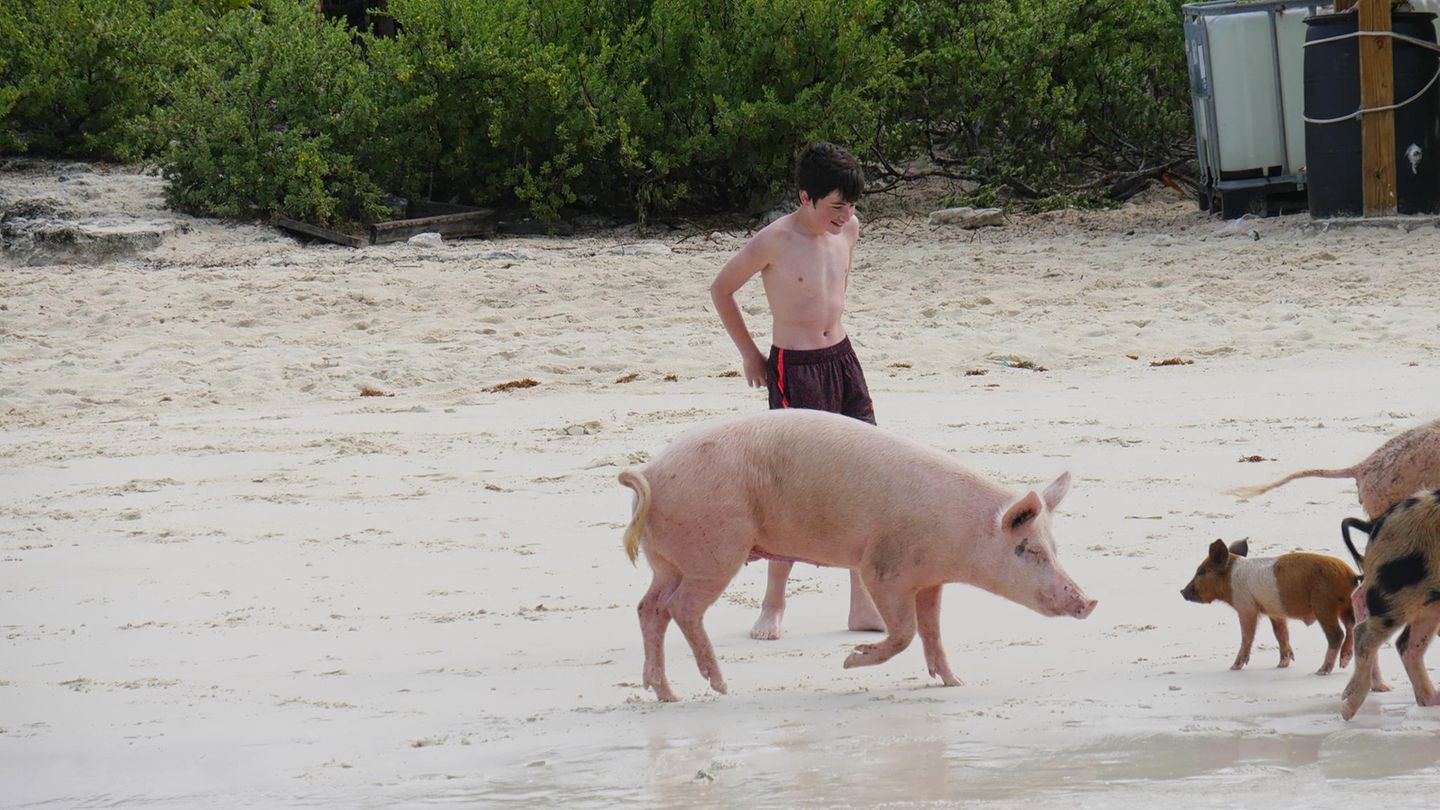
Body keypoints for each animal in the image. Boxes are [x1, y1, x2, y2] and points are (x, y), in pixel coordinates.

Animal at [617, 408, 1097, 702]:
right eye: (1027, 549)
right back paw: (719, 686)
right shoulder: (882, 567)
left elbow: (933, 630)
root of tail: (649, 471)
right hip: (715, 553)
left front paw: (955, 681)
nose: (1088, 601)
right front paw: (851, 660)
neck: (959, 537)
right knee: (682, 608)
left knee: (649, 608)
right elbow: (904, 631)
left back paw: (664, 692)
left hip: (667, 560)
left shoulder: (931, 579)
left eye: (1055, 547)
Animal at [1180, 539, 1360, 674]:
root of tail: (1350, 574)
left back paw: (1321, 671)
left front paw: (1233, 667)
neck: (1230, 579)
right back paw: (1343, 662)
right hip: (1346, 605)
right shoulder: (1275, 612)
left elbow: (1247, 636)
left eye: (1201, 572)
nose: (1182, 592)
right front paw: (1282, 664)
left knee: (1337, 634)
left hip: (1324, 606)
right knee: (1351, 625)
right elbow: (1281, 634)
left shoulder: (1246, 606)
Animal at [1339, 489, 1440, 720]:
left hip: (1430, 603)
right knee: (1363, 635)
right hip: (1395, 590)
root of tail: (1378, 523)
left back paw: (1433, 701)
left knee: (1407, 645)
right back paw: (1346, 709)